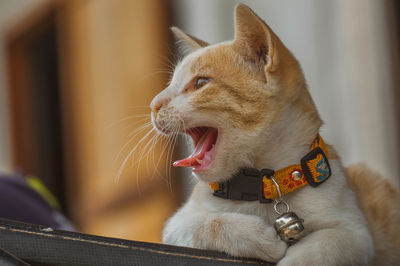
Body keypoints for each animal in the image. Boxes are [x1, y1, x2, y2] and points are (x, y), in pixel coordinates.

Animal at [150, 3, 400, 264]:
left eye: (201, 83)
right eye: (170, 85)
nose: (153, 105)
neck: (265, 184)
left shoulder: (355, 234)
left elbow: (320, 248)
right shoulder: (176, 225)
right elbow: (206, 222)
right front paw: (258, 237)